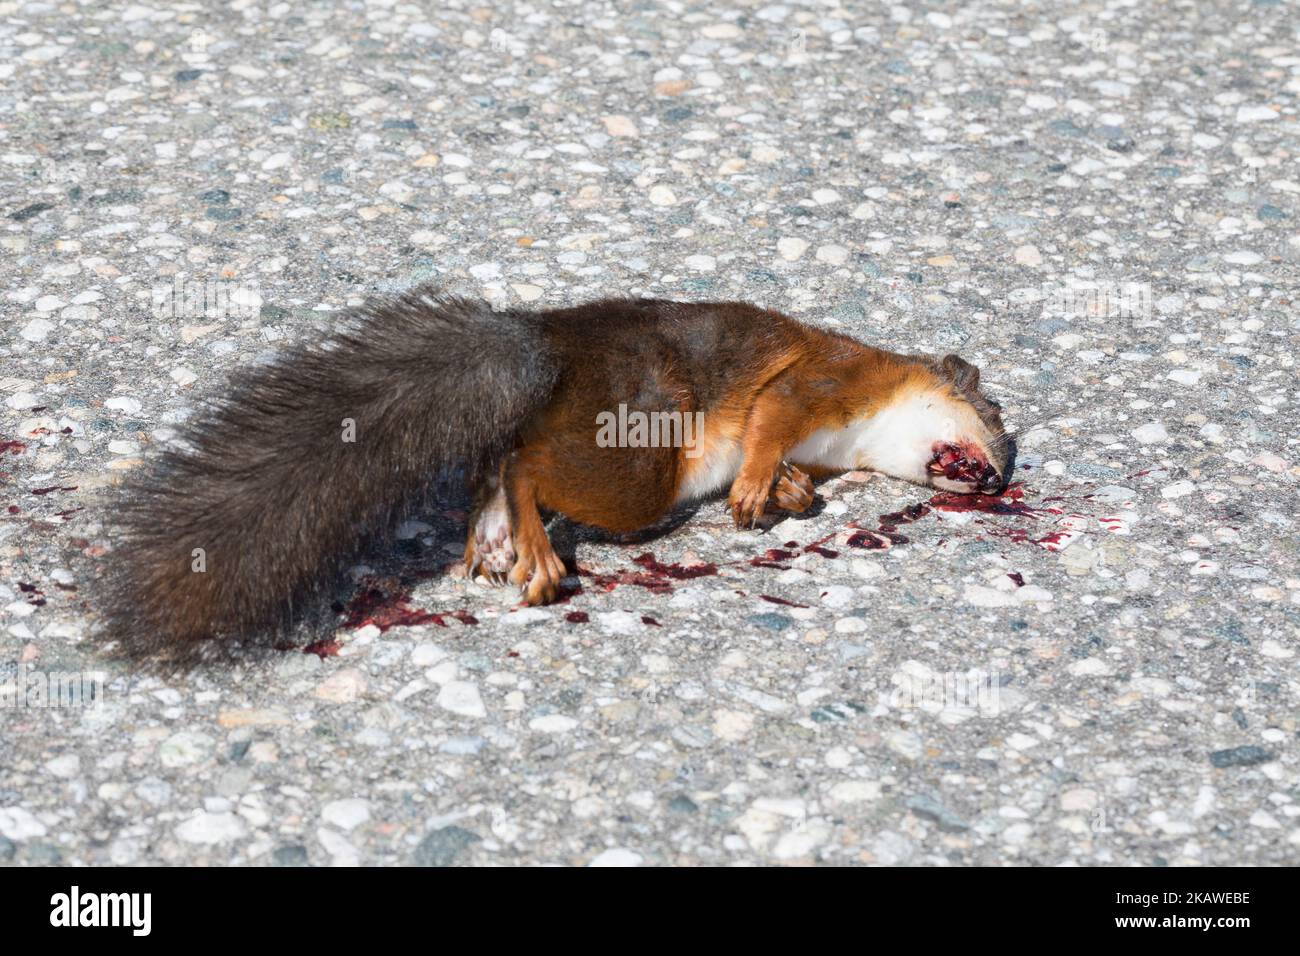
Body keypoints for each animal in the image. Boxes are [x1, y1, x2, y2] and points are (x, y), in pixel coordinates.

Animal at [95, 288, 1010, 666]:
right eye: (996, 413)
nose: (1000, 480)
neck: (865, 426)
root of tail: (542, 349)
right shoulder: (819, 378)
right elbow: (771, 420)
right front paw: (759, 486)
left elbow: (791, 467)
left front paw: (787, 491)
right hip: (637, 459)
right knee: (525, 462)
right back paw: (532, 546)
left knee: (497, 459)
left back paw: (494, 538)